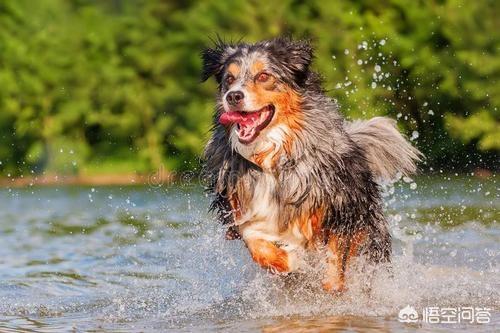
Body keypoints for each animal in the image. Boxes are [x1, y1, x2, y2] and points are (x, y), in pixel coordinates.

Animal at [201, 35, 420, 290]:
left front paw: (330, 284)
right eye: (229, 79)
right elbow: (258, 246)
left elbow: (335, 260)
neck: (270, 157)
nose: (233, 96)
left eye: (264, 76)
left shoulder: (340, 208)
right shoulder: (241, 210)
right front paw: (291, 261)